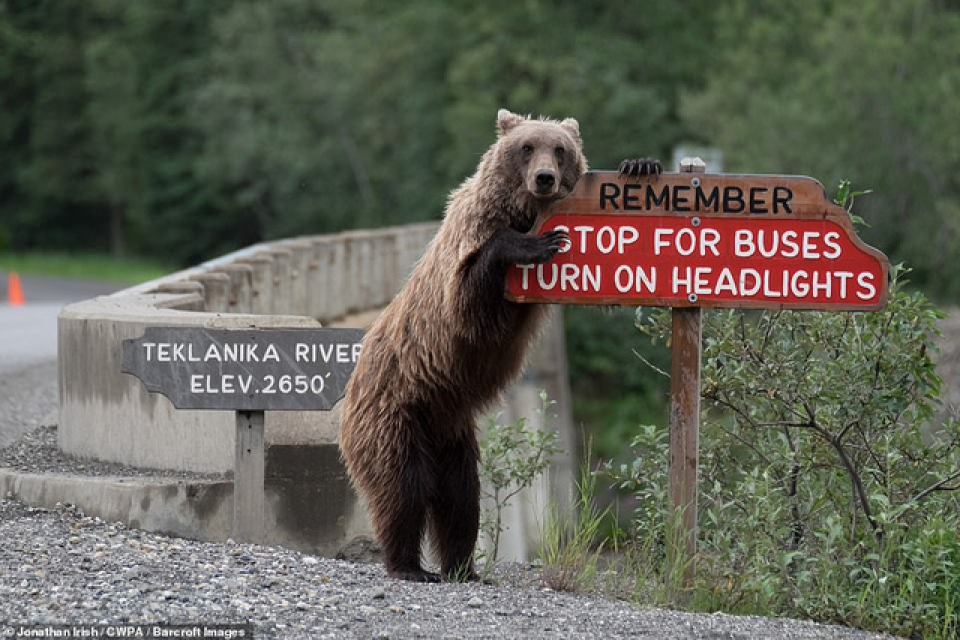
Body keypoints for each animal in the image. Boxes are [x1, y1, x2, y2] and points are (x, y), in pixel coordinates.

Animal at [338, 109, 660, 580]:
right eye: (526, 147)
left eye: (559, 149)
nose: (544, 178)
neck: (521, 210)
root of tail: (352, 385)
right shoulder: (466, 253)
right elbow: (471, 300)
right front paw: (535, 243)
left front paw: (641, 164)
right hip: (396, 411)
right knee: (403, 488)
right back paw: (408, 564)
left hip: (451, 433)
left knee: (460, 499)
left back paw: (462, 566)